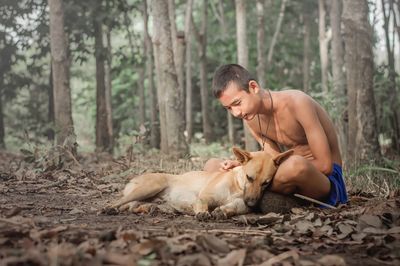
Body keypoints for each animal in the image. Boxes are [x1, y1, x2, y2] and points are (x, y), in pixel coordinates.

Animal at [111, 149, 292, 219]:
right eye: (249, 177)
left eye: (266, 183)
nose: (253, 204)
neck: (237, 184)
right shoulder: (204, 196)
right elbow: (202, 203)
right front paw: (204, 212)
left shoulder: (242, 204)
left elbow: (235, 207)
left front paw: (223, 210)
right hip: (149, 187)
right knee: (119, 202)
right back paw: (109, 208)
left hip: (149, 199)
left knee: (134, 207)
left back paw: (150, 209)